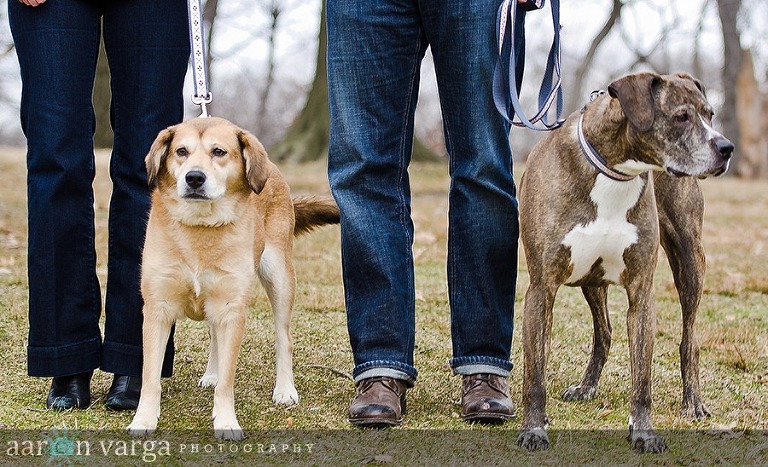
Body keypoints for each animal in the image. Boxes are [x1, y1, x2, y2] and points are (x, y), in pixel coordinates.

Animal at [127, 118, 338, 442]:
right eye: (181, 151)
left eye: (219, 151)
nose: (194, 178)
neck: (200, 226)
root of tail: (271, 168)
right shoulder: (157, 309)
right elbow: (150, 376)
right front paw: (144, 419)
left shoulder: (231, 310)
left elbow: (228, 382)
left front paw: (226, 421)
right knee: (214, 336)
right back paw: (211, 373)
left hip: (280, 278)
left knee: (284, 339)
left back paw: (284, 389)